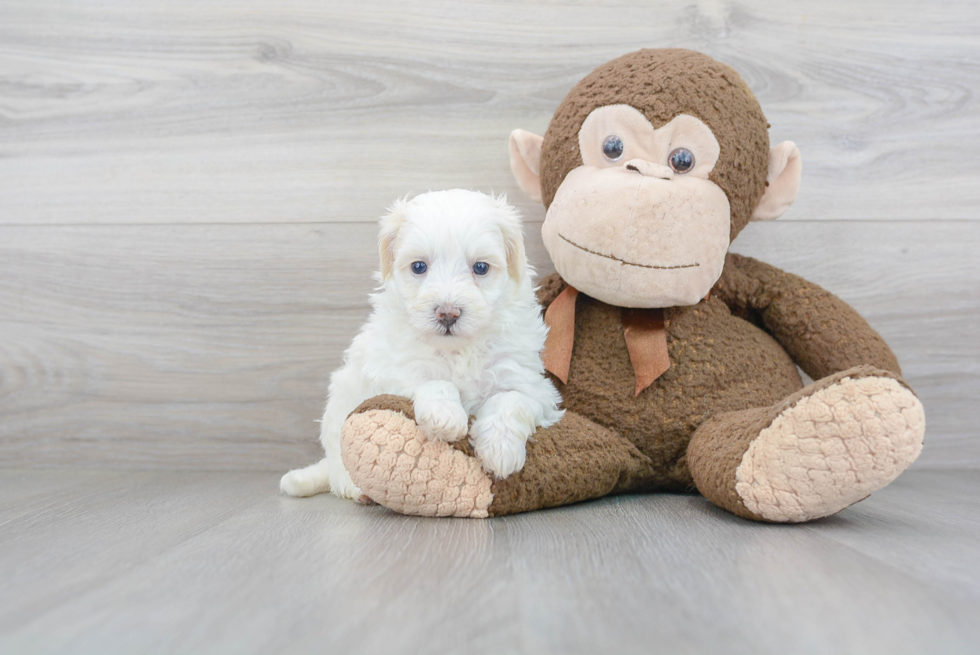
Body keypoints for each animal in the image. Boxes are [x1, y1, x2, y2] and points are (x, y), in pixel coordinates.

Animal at [280, 192, 564, 500]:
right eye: (419, 267)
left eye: (480, 267)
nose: (448, 313)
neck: (457, 350)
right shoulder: (392, 369)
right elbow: (434, 381)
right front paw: (445, 416)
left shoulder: (530, 383)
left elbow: (511, 400)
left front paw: (500, 450)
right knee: (337, 464)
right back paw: (353, 487)